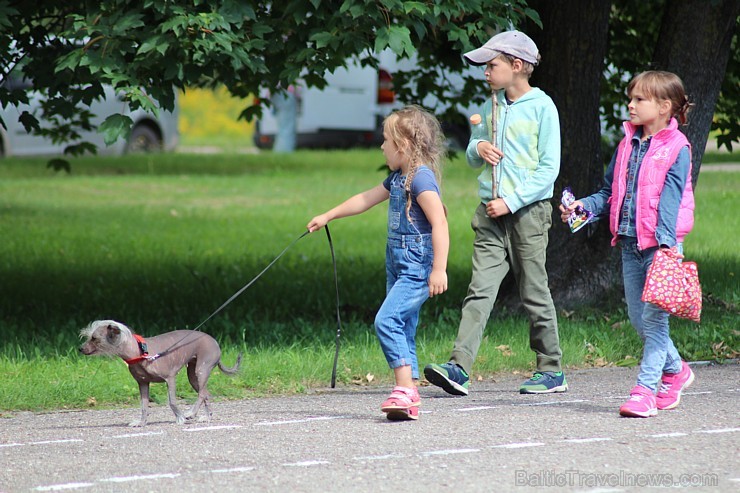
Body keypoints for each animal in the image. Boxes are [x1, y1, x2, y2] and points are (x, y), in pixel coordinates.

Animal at [80, 320, 243, 426]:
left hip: (202, 369)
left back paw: (190, 413)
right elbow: (144, 405)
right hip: (193, 375)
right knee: (206, 393)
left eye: (94, 338)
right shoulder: (143, 383)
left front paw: (180, 418)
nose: (80, 349)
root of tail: (214, 341)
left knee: (202, 394)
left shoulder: (170, 379)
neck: (140, 352)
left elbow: (171, 401)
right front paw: (141, 422)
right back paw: (207, 417)